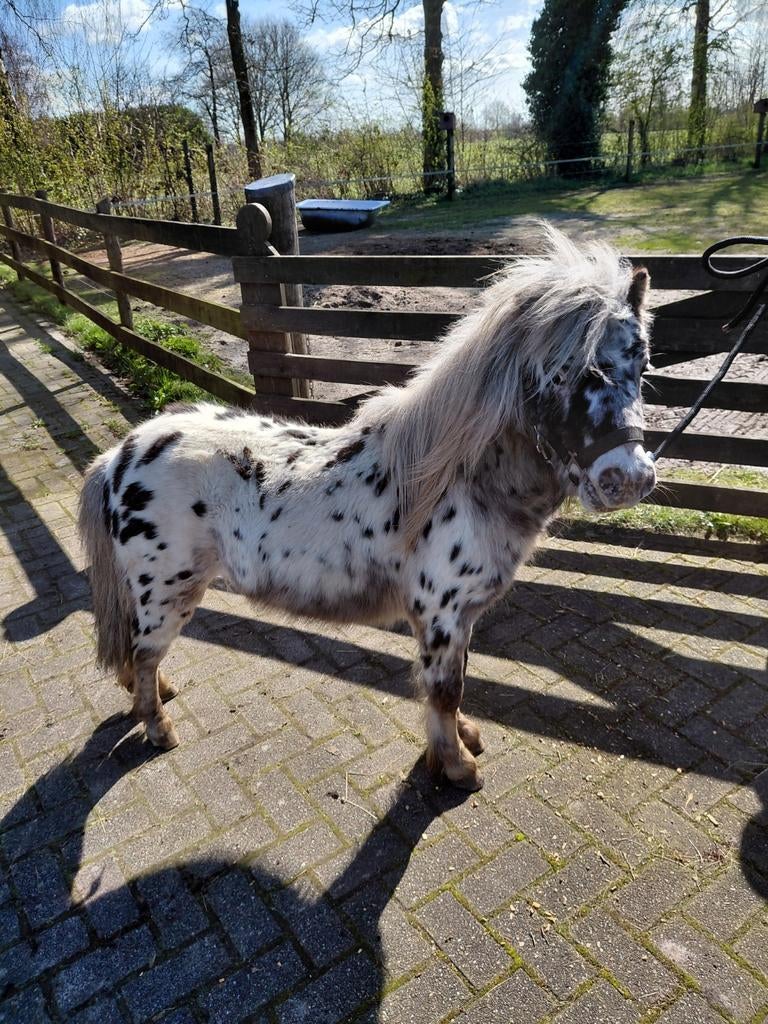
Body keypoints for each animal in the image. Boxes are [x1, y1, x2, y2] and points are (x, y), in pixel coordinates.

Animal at [78, 225, 656, 792]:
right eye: (560, 373)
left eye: (643, 362)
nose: (628, 480)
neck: (457, 483)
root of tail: (121, 455)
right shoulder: (441, 614)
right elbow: (444, 690)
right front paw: (456, 767)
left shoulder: (462, 617)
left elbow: (457, 683)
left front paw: (464, 738)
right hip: (168, 591)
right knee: (145, 652)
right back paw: (159, 728)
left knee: (137, 654)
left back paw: (157, 697)